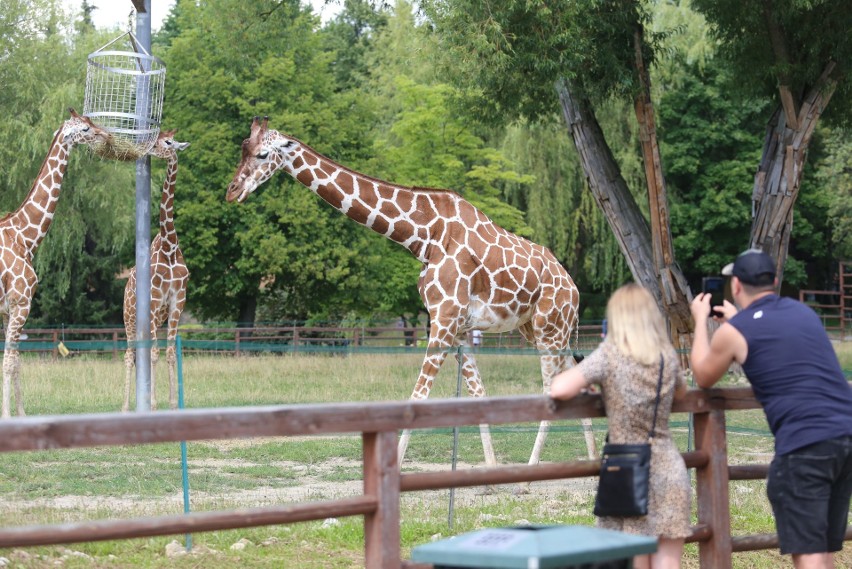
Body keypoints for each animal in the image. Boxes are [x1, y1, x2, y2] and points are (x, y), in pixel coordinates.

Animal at [0, 108, 112, 418]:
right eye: (85, 129)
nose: (107, 135)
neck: (24, 237)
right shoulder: (21, 303)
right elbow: (9, 361)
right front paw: (8, 416)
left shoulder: (8, 310)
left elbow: (15, 362)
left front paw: (21, 415)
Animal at [228, 116, 600, 466]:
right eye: (242, 149)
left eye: (263, 154)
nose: (232, 191)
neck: (424, 236)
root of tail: (574, 288)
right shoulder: (456, 325)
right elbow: (478, 393)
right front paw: (491, 473)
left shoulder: (445, 320)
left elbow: (417, 398)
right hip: (539, 330)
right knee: (573, 376)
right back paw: (593, 458)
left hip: (550, 329)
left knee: (552, 390)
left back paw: (530, 473)